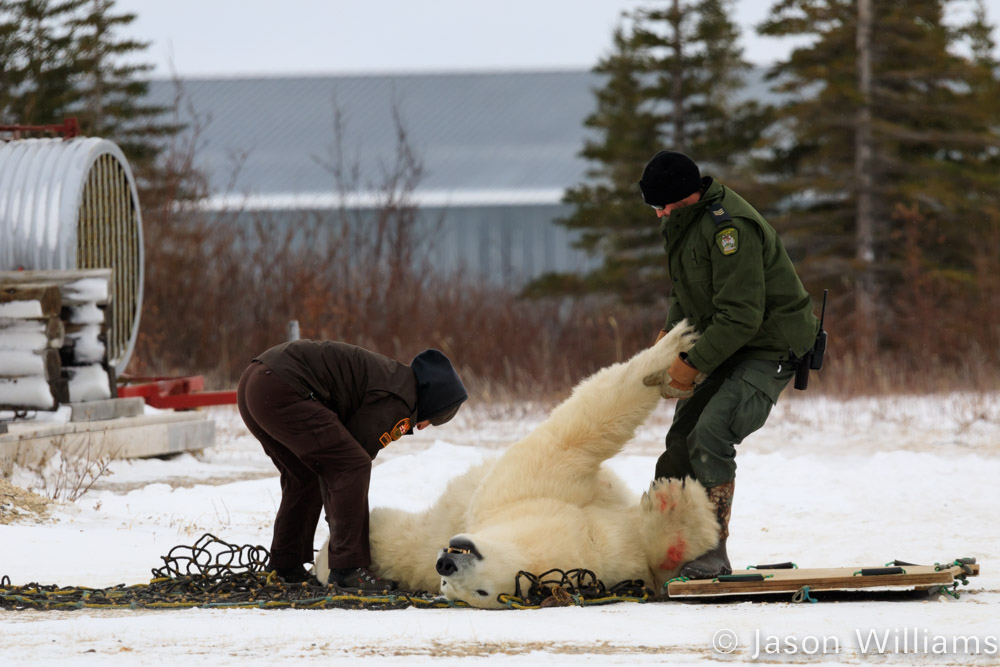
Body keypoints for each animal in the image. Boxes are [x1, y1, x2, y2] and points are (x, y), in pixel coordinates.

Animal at [312, 324, 720, 612]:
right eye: (477, 591)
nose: (445, 565)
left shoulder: (520, 497)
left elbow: (570, 438)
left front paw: (672, 346)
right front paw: (672, 501)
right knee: (400, 537)